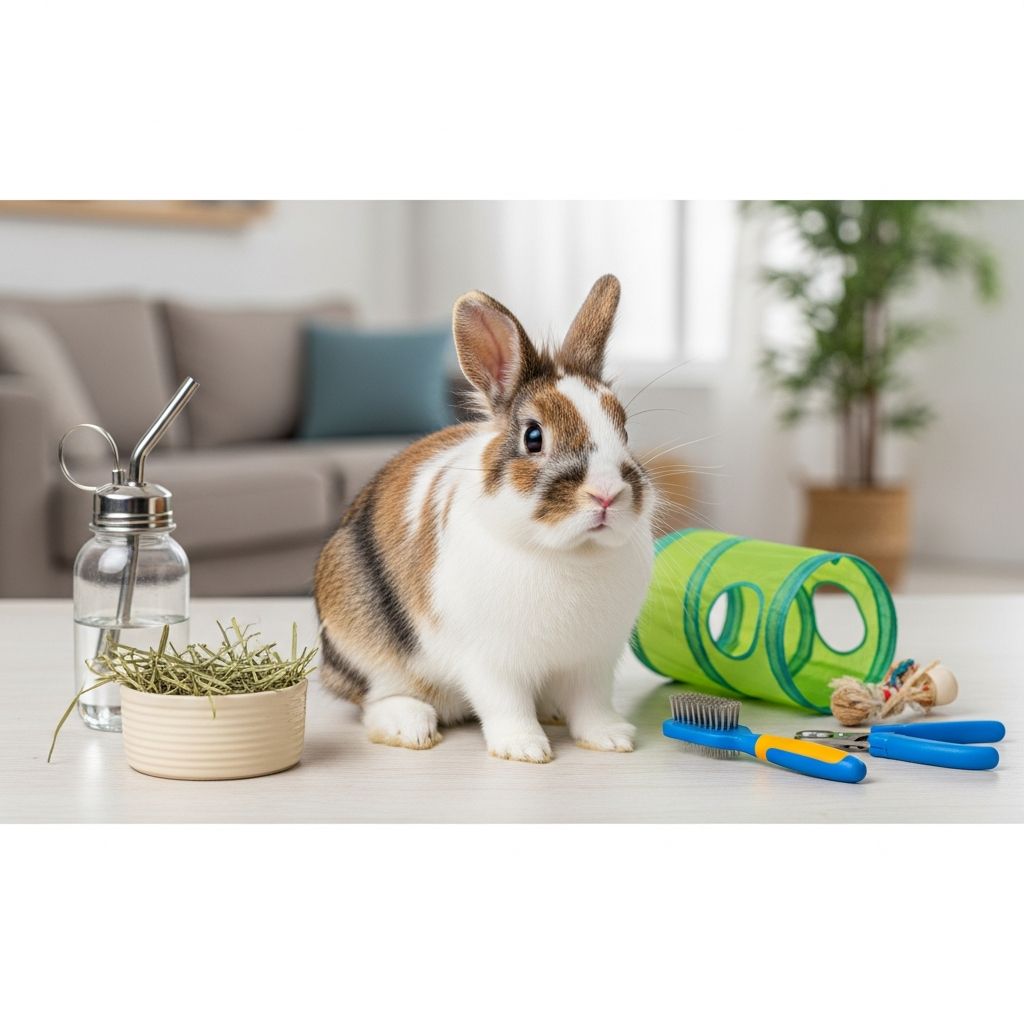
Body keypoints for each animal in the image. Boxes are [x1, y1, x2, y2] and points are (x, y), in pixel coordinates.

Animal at [313, 274, 655, 762]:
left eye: (624, 430)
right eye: (533, 437)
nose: (606, 494)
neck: (569, 554)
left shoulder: (592, 662)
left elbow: (592, 705)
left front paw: (611, 739)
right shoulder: (491, 661)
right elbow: (505, 704)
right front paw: (525, 749)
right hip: (361, 641)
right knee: (375, 700)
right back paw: (410, 727)